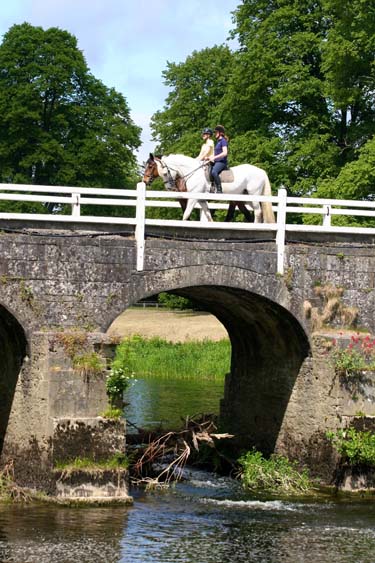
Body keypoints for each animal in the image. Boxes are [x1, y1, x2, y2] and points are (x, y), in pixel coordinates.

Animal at [144, 155, 276, 226]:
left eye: (150, 166)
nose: (145, 181)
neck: (192, 172)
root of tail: (261, 171)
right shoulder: (201, 200)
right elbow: (208, 216)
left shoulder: (192, 198)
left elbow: (186, 214)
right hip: (244, 197)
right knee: (259, 211)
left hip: (253, 196)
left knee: (258, 212)